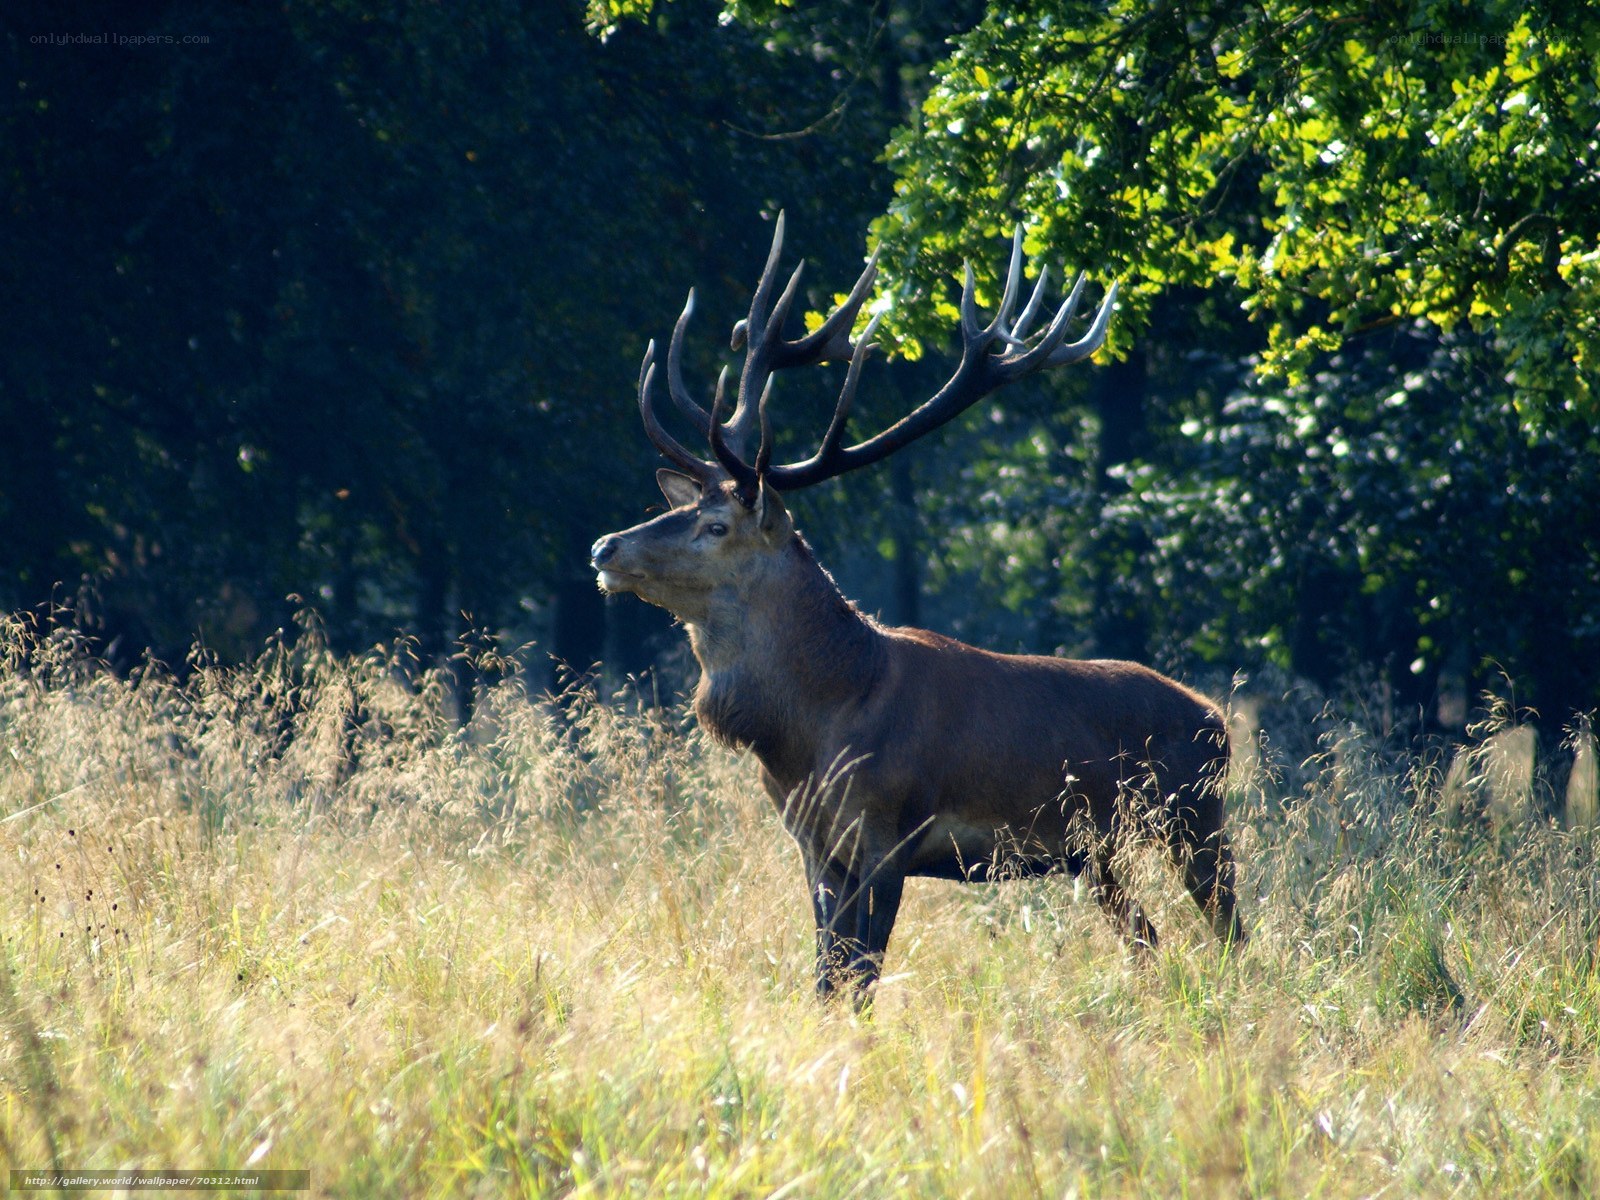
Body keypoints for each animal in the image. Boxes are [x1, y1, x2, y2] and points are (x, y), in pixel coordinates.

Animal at [590, 215, 1245, 1004]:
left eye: (716, 526)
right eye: (683, 508)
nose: (603, 546)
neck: (812, 728)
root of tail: (1217, 719)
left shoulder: (888, 831)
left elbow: (860, 979)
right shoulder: (812, 844)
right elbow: (827, 979)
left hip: (1195, 816)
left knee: (1232, 933)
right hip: (1097, 853)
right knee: (1149, 939)